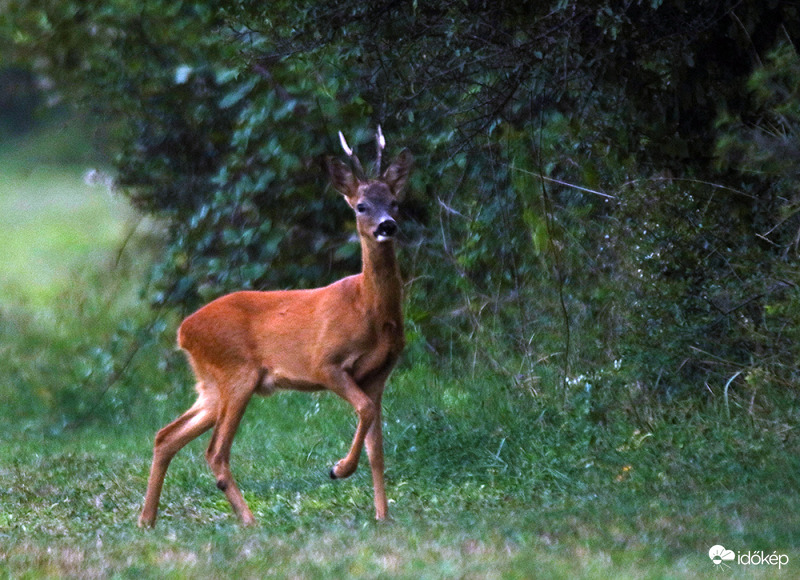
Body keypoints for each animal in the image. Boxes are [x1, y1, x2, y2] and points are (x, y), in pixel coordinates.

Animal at [138, 129, 412, 528]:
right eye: (361, 206)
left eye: (394, 201)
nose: (387, 225)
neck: (367, 307)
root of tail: (184, 331)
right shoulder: (325, 363)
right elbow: (363, 410)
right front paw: (339, 469)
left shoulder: (379, 374)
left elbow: (376, 444)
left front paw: (382, 516)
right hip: (237, 374)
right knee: (215, 451)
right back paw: (249, 520)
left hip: (212, 386)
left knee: (166, 436)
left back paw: (147, 520)